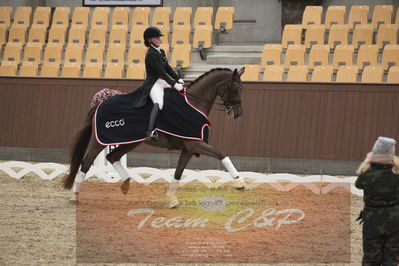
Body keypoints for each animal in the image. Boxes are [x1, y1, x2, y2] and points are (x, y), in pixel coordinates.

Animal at [64, 66, 247, 208]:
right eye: (233, 87)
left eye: (241, 87)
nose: (238, 114)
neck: (193, 104)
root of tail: (99, 103)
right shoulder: (194, 144)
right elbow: (222, 154)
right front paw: (239, 182)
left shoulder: (188, 148)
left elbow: (178, 172)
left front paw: (171, 199)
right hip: (100, 141)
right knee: (86, 162)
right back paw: (75, 196)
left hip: (131, 142)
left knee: (112, 156)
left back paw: (126, 184)